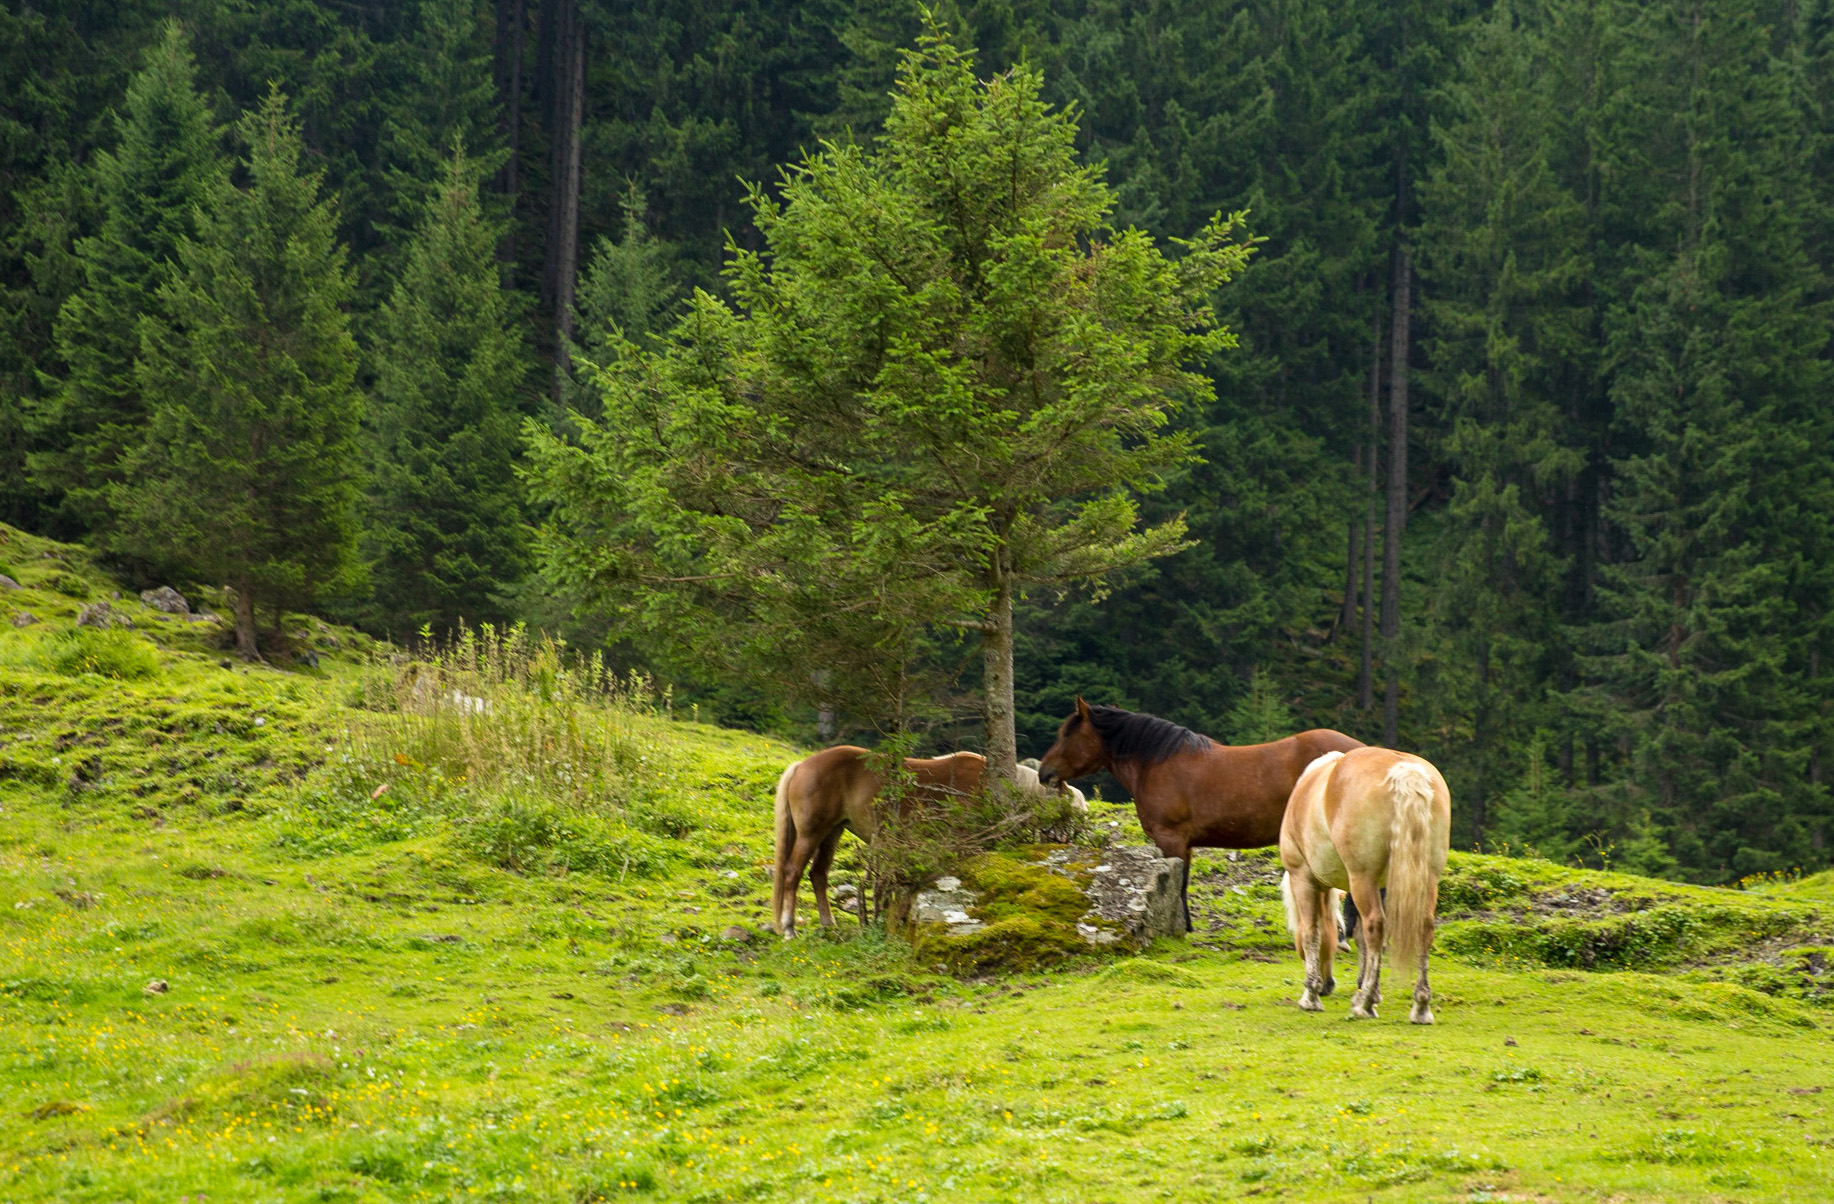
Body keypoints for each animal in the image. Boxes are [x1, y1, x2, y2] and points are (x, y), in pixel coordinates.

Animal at [770, 741, 1078, 939]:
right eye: (1064, 802)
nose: (1064, 838)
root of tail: (803, 765)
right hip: (812, 833)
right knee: (792, 873)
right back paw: (789, 928)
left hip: (833, 832)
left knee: (818, 874)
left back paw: (828, 925)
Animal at [1034, 697, 1364, 932]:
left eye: (1066, 734)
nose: (1044, 773)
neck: (1156, 763)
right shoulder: (1185, 844)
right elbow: (1181, 881)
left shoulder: (1170, 839)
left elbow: (1176, 884)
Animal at [1283, 748, 1452, 1020]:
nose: (1327, 986)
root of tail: (1405, 772)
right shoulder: (1376, 886)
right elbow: (1362, 939)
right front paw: (1365, 990)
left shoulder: (1303, 878)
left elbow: (1311, 932)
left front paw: (1311, 995)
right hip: (1426, 879)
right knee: (1423, 928)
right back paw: (1420, 1006)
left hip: (1362, 877)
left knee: (1375, 925)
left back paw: (1365, 1005)